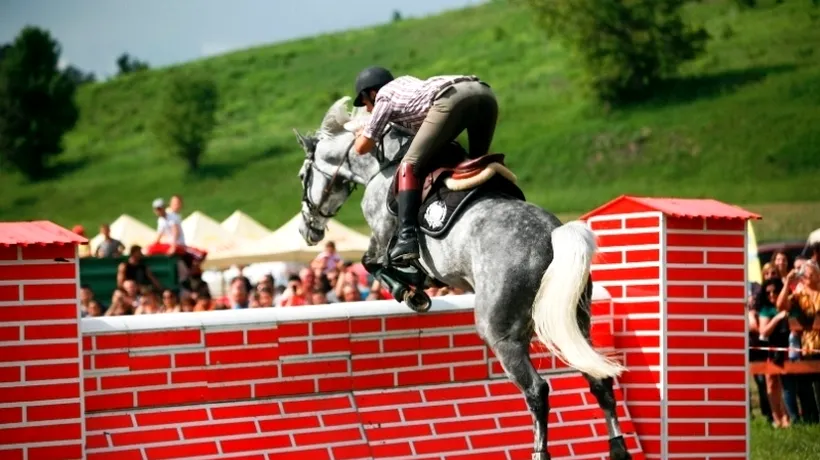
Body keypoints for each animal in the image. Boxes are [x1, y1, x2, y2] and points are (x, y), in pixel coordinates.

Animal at [294, 95, 636, 458]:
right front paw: (415, 287)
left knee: (537, 390)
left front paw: (410, 291)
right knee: (598, 377)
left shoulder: (382, 233)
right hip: (570, 319)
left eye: (302, 175)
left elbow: (374, 263)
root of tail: (552, 235)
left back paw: (541, 451)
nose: (308, 230)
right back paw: (618, 448)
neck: (378, 163)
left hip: (501, 333)